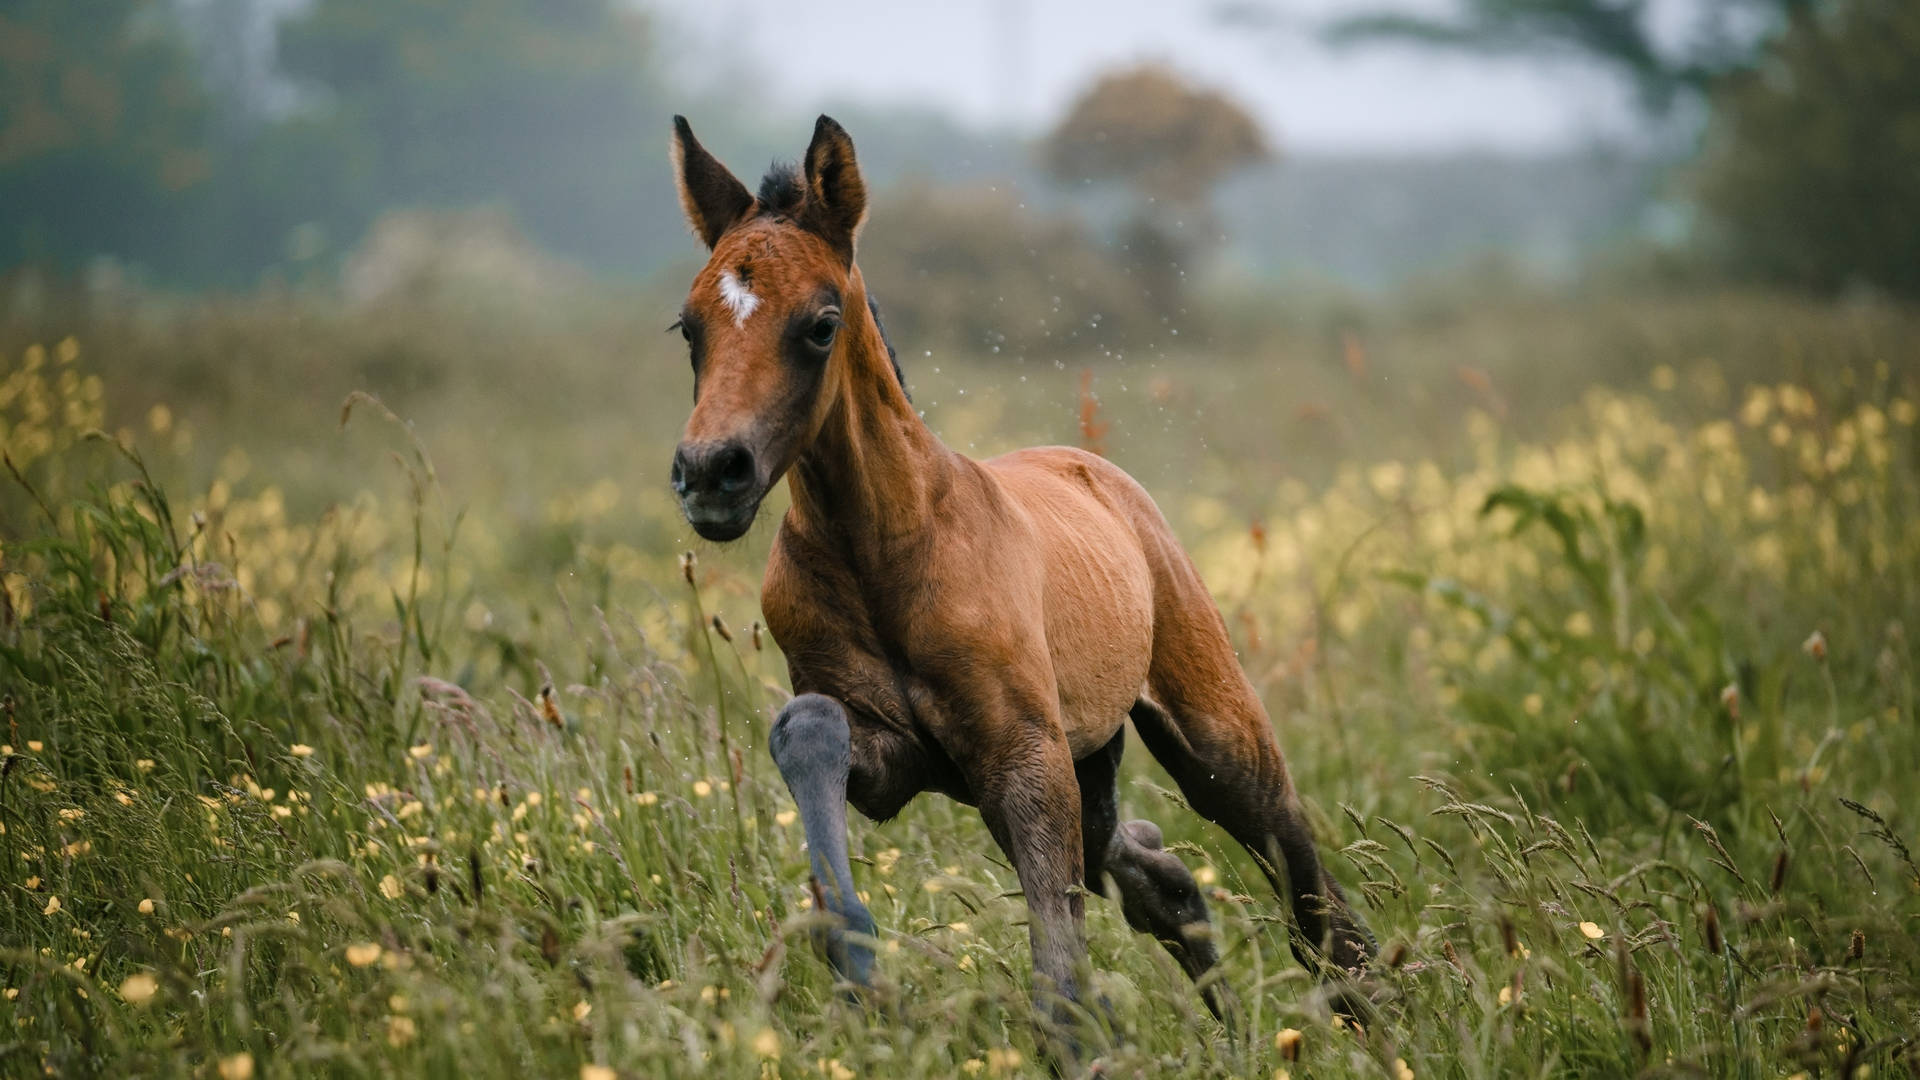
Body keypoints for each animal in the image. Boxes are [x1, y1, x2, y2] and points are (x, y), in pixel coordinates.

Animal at [668, 111, 1374, 1045]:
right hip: (1077, 767)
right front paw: (860, 969)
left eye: (820, 323)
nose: (712, 473)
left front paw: (1077, 1038)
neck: (887, 551)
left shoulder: (1023, 757)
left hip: (1209, 732)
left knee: (1299, 873)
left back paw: (1371, 1013)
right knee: (1156, 871)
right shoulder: (911, 762)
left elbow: (1059, 970)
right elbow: (808, 728)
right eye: (689, 328)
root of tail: (1095, 469)